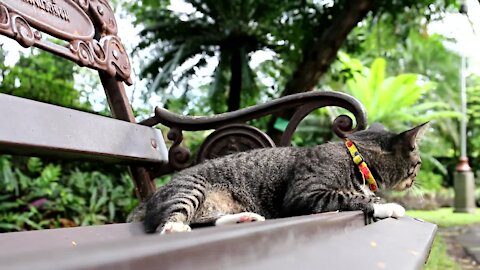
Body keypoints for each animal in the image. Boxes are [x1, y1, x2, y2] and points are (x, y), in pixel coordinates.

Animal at [129, 123, 426, 234]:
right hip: (191, 188)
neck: (356, 157)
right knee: (167, 223)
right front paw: (388, 205)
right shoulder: (304, 193)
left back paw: (245, 218)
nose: (415, 180)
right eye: (418, 164)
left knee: (203, 220)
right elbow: (350, 194)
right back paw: (175, 228)